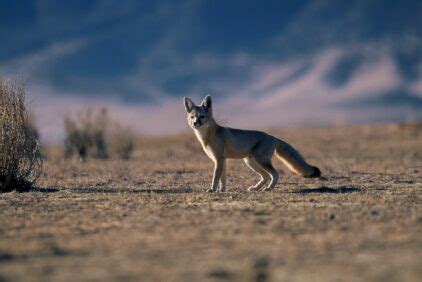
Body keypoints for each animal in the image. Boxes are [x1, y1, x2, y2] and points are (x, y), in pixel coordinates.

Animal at [184, 96, 320, 193]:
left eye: (202, 117)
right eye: (192, 117)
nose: (195, 123)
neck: (208, 136)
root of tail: (273, 137)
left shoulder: (219, 159)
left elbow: (215, 177)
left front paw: (212, 189)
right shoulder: (222, 160)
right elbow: (223, 179)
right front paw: (222, 190)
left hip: (260, 161)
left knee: (274, 174)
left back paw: (268, 189)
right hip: (250, 162)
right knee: (266, 176)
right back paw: (256, 188)